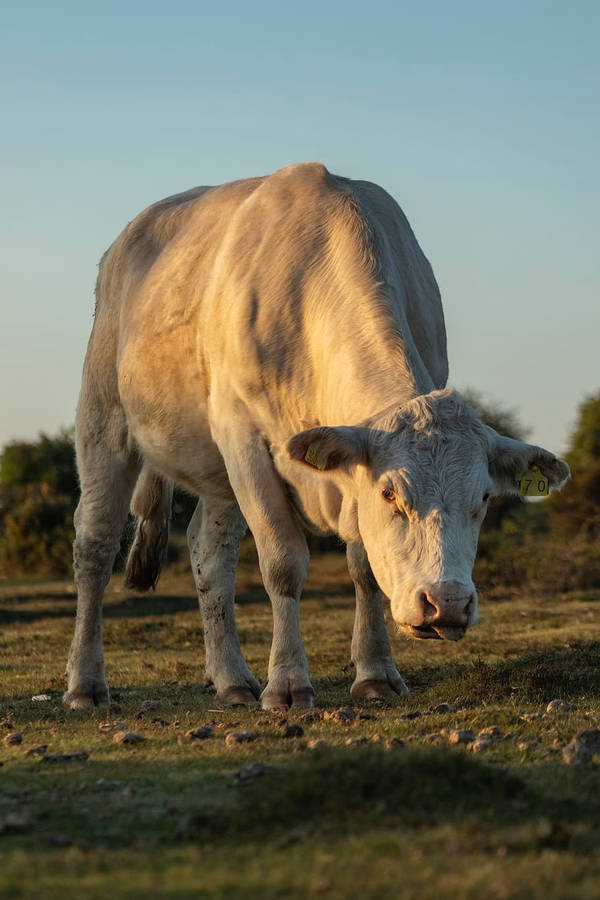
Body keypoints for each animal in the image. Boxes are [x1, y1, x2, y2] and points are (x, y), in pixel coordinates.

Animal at [65, 162, 570, 711]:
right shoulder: (245, 439)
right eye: (390, 494)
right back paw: (86, 684)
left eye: (483, 498)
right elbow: (283, 564)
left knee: (209, 555)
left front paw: (376, 673)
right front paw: (288, 683)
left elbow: (364, 567)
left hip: (216, 473)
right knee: (96, 544)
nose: (448, 603)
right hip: (105, 417)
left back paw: (231, 678)